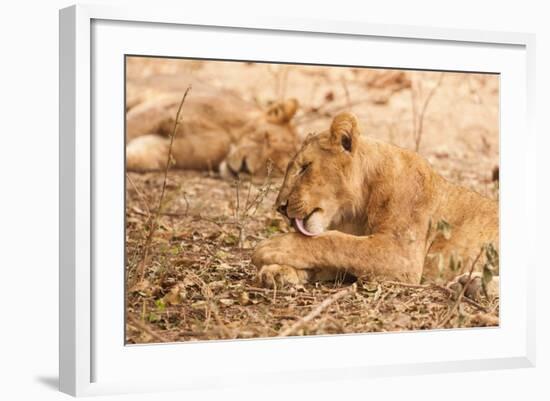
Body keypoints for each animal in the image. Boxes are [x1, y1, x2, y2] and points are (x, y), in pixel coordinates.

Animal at [126, 77, 300, 177]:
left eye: (275, 166)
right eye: (266, 137)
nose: (244, 167)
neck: (230, 136)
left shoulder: (162, 150)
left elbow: (137, 155)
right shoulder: (160, 111)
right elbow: (131, 127)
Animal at [253, 111, 500, 296]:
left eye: (305, 168)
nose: (280, 207)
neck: (353, 210)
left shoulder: (401, 255)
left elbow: (338, 243)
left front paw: (273, 247)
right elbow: (327, 254)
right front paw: (277, 271)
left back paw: (475, 286)